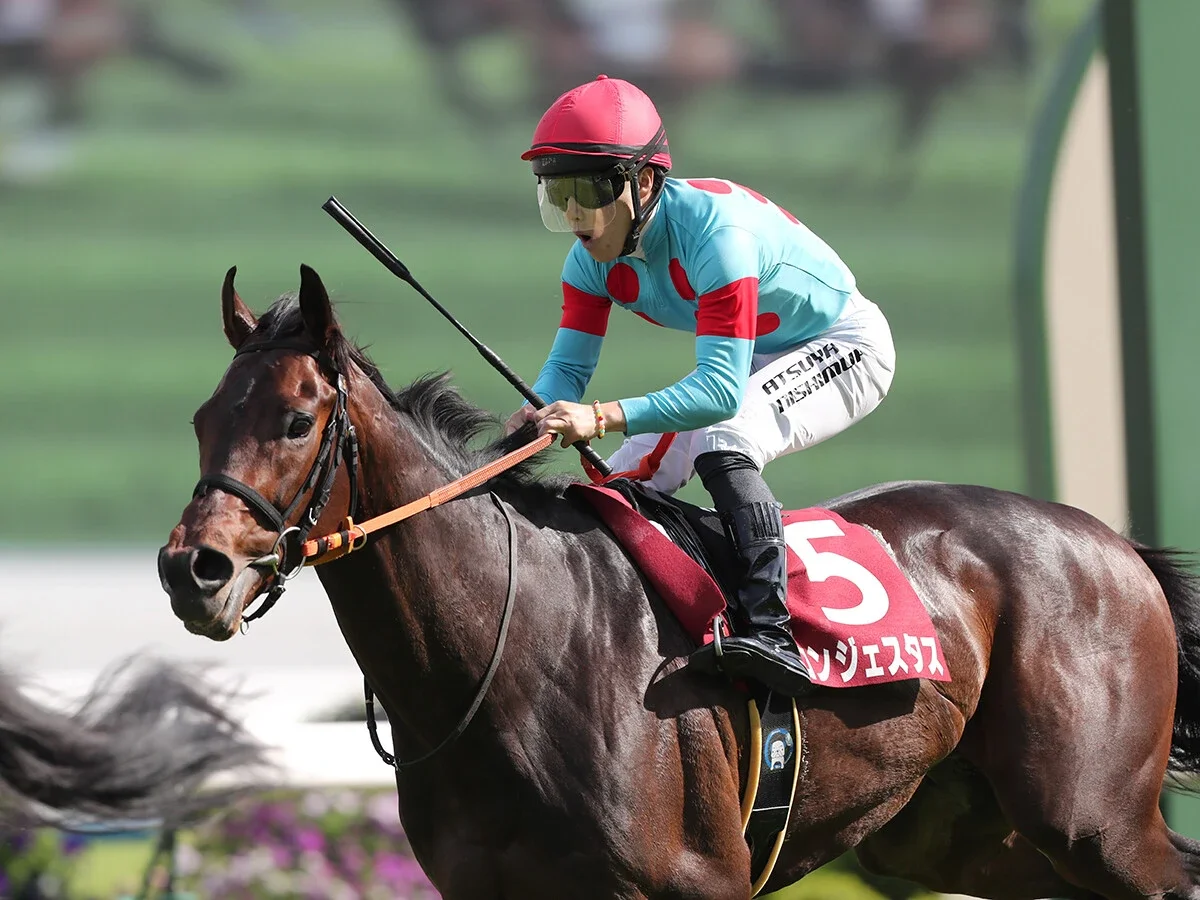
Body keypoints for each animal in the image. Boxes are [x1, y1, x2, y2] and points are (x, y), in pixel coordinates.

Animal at [159, 263, 1200, 899]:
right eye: (201, 418)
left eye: (297, 420)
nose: (191, 569)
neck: (506, 659)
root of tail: (1113, 543)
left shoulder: (699, 877)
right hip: (970, 834)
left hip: (1093, 818)